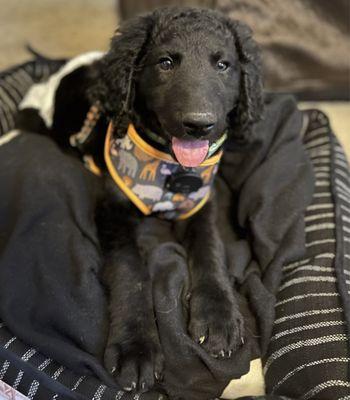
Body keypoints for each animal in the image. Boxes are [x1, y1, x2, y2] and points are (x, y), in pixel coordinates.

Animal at [16, 6, 262, 394]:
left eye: (223, 65)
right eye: (165, 62)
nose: (199, 125)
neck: (169, 165)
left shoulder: (200, 201)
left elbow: (210, 249)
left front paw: (219, 316)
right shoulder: (113, 210)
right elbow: (130, 270)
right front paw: (136, 347)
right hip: (37, 118)